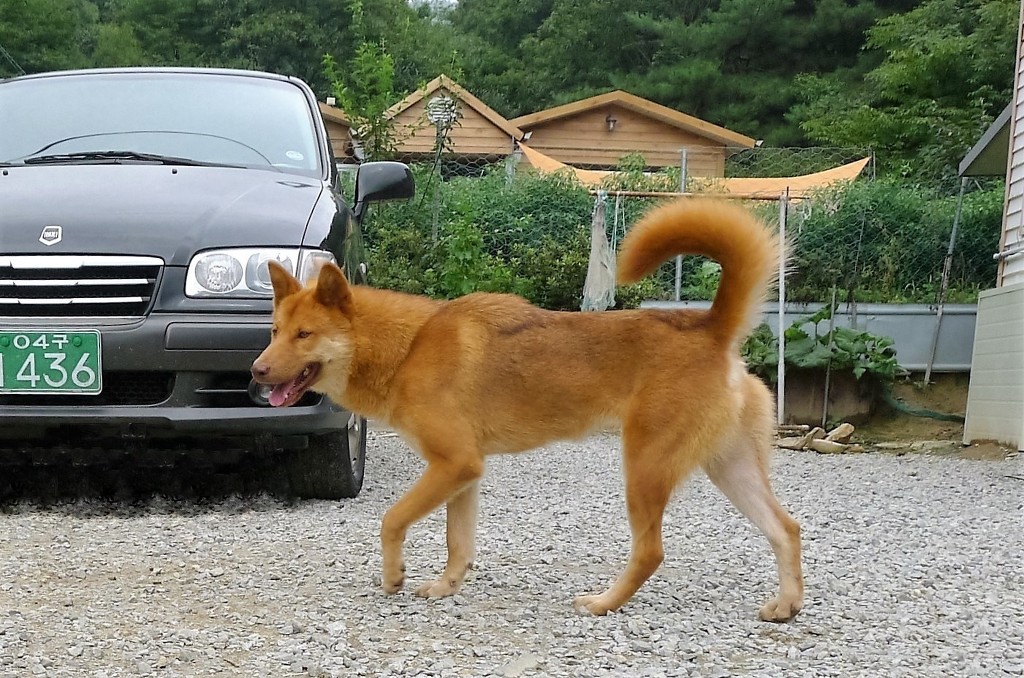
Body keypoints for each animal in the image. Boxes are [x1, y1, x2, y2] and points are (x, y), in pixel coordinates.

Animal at [251, 198, 803, 621]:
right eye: (275, 330)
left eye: (305, 335)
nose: (256, 371)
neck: (410, 347)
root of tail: (711, 329)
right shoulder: (462, 473)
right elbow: (458, 543)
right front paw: (446, 587)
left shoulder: (453, 464)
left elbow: (391, 520)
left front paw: (394, 576)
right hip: (730, 468)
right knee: (786, 529)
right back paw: (786, 606)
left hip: (645, 469)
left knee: (651, 552)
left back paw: (603, 603)